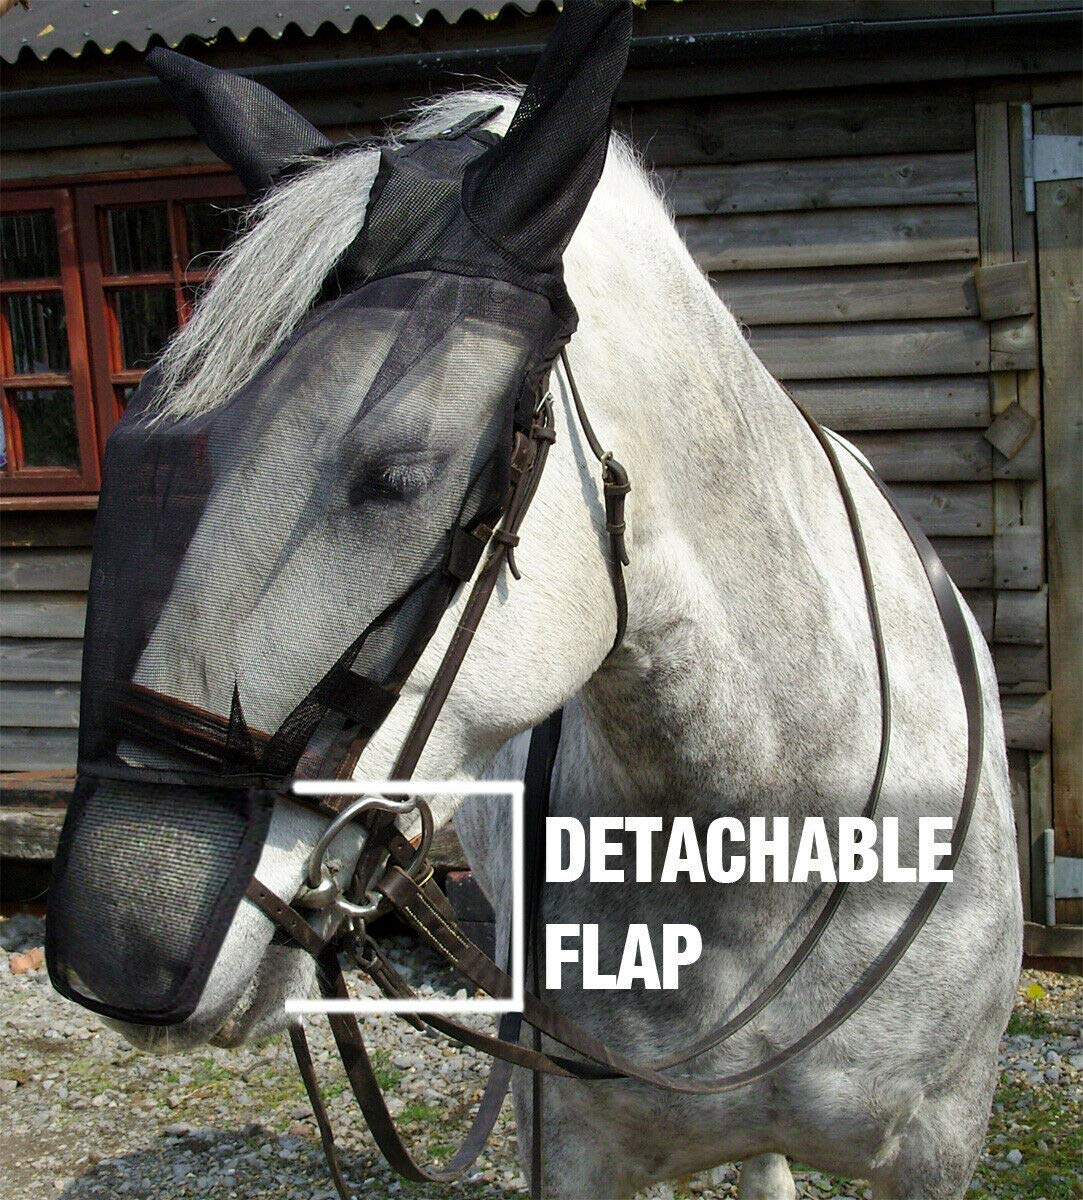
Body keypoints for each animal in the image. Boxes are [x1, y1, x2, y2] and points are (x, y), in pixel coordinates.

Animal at [58, 78, 1021, 1200]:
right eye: (159, 460)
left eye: (399, 476)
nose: (119, 948)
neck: (772, 824)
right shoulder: (568, 1151)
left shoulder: (940, 1152)